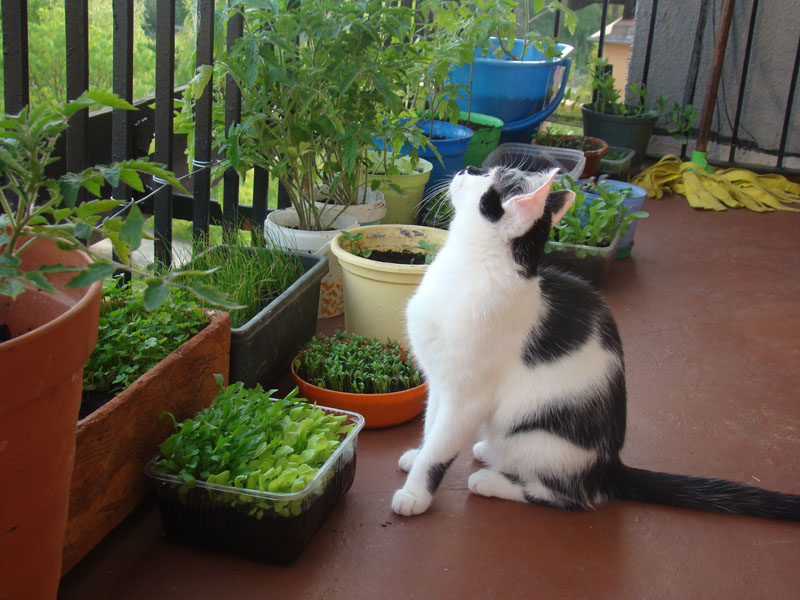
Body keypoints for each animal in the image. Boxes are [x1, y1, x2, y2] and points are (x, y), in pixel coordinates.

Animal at [392, 164, 800, 520]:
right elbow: (431, 428)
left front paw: (415, 494)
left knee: (567, 495)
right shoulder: (440, 383)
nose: (466, 168)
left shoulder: (466, 397)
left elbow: (440, 451)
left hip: (537, 440)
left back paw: (491, 480)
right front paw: (417, 453)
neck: (468, 267)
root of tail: (610, 466)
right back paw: (487, 454)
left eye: (487, 177)